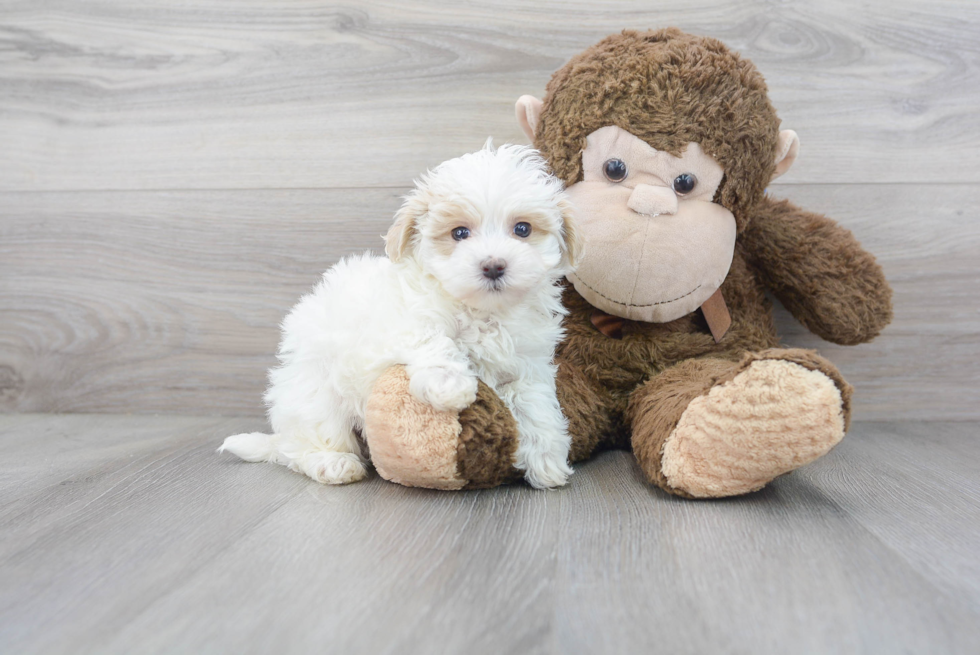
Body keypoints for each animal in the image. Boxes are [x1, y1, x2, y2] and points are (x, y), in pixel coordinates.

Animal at [220, 145, 580, 492]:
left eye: (522, 229)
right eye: (459, 233)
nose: (493, 265)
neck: (483, 312)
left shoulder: (529, 362)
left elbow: (535, 402)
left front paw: (547, 460)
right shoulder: (399, 324)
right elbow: (436, 339)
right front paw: (450, 384)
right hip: (315, 395)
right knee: (304, 445)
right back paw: (332, 463)